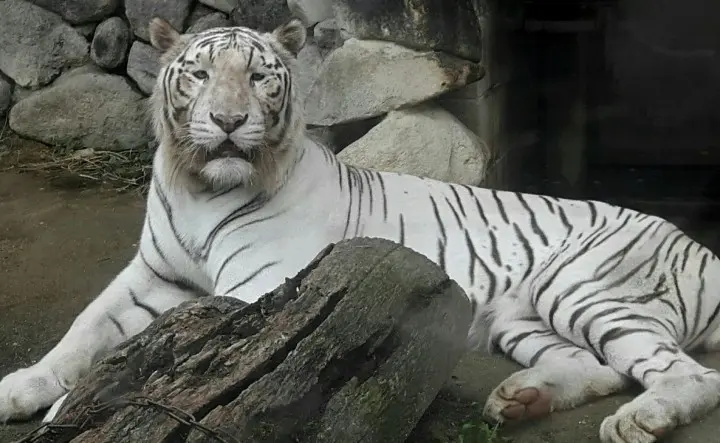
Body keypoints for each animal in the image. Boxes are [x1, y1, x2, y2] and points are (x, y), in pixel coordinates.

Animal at [0, 16, 719, 443]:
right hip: (522, 315)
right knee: (600, 367)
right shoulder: (152, 274)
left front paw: (71, 415)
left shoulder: (256, 287)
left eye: (258, 77)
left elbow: (150, 349)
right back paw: (521, 399)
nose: (229, 121)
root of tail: (696, 245)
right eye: (199, 74)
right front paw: (22, 387)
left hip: (588, 288)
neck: (202, 184)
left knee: (686, 375)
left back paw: (638, 419)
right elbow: (84, 333)